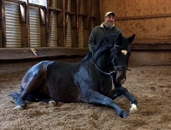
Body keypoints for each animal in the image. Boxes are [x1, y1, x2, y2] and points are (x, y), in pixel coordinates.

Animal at [9, 33, 138, 118]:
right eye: (116, 53)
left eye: (129, 53)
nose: (121, 78)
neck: (96, 70)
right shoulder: (89, 95)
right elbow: (108, 100)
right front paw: (123, 112)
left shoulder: (106, 93)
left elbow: (122, 90)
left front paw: (134, 105)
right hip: (35, 76)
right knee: (21, 96)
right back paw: (20, 105)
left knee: (35, 97)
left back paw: (51, 101)